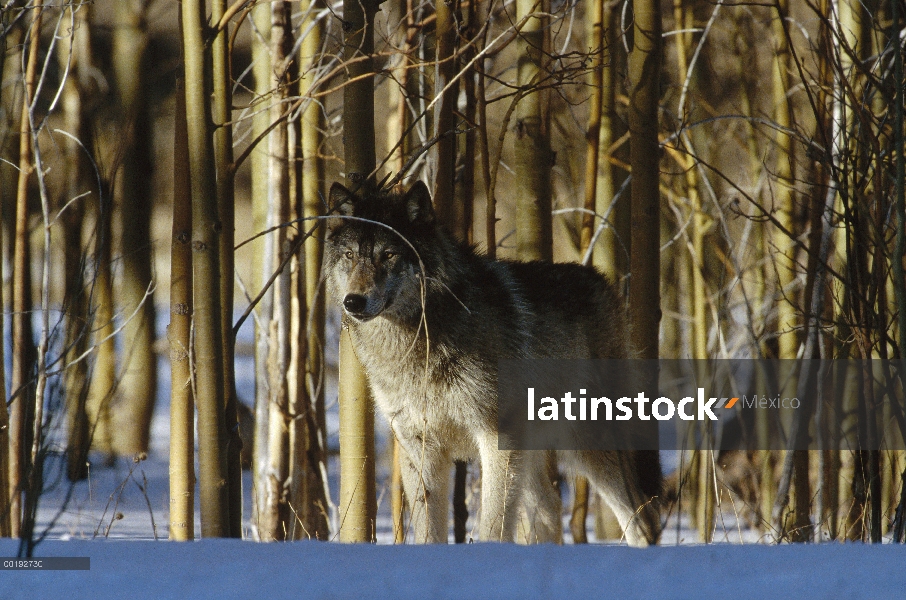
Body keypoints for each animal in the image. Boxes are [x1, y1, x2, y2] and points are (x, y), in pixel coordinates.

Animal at [322, 179, 660, 544]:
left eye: (388, 255)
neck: (417, 342)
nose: (353, 301)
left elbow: (493, 527)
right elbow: (429, 534)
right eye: (350, 255)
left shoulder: (496, 439)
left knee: (642, 519)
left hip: (587, 444)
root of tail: (606, 285)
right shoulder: (419, 450)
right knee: (551, 506)